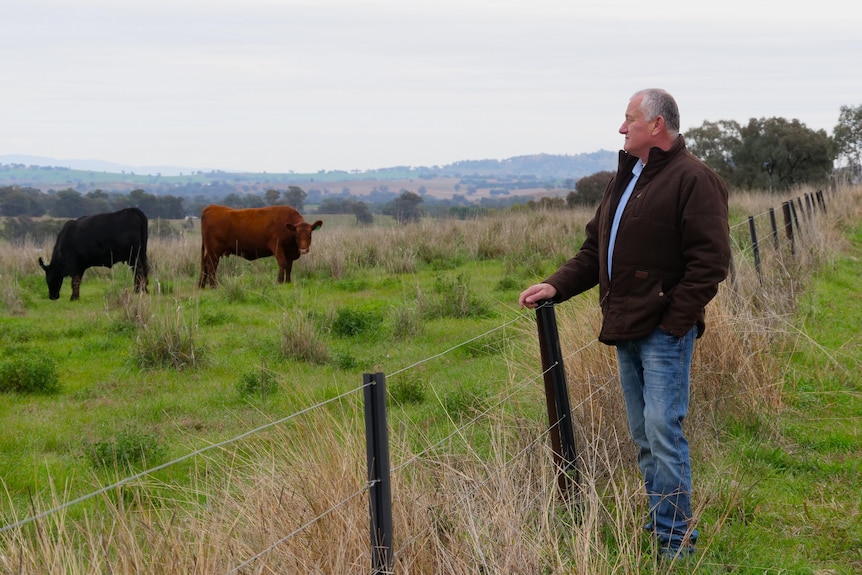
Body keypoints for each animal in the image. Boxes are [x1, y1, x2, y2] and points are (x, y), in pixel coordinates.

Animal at [197, 206, 326, 288]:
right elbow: (283, 263)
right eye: (297, 235)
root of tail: (212, 207)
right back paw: (214, 286)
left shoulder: (290, 251)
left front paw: (288, 282)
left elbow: (289, 267)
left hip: (210, 251)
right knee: (211, 266)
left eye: (310, 235)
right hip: (214, 251)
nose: (303, 249)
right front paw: (279, 281)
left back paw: (202, 285)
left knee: (205, 265)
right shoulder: (276, 245)